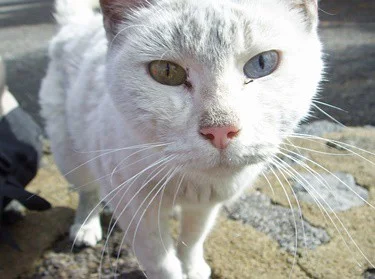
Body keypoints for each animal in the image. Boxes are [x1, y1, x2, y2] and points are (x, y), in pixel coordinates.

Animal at [39, 0, 324, 279]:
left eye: (263, 63)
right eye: (166, 71)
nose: (220, 130)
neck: (190, 181)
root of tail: (74, 24)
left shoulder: (207, 204)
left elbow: (193, 238)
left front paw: (192, 268)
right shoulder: (134, 208)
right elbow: (161, 262)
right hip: (70, 154)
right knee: (88, 192)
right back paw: (84, 228)